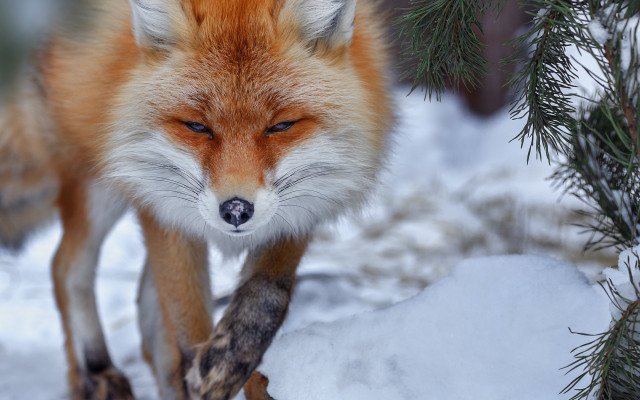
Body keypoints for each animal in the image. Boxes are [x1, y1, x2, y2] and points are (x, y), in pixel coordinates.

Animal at [0, 0, 393, 399]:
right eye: (197, 127)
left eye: (281, 126)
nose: (236, 210)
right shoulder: (157, 198)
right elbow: (187, 323)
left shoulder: (306, 200)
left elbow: (267, 294)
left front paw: (231, 362)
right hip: (100, 170)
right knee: (66, 266)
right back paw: (96, 372)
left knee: (140, 304)